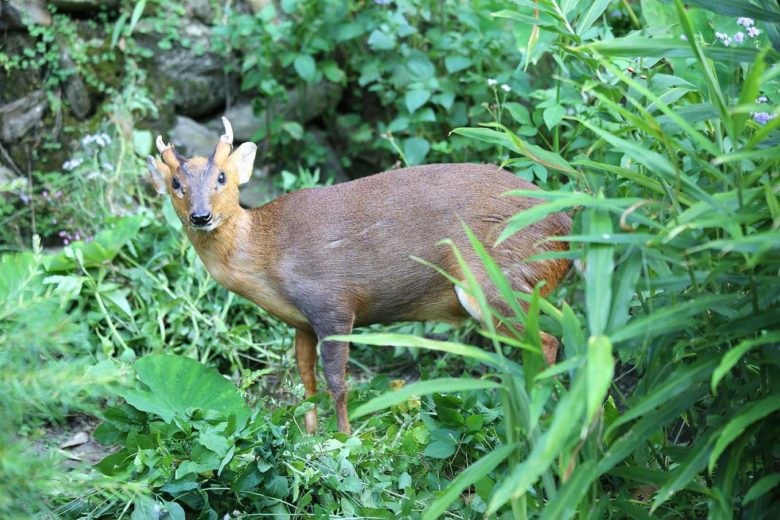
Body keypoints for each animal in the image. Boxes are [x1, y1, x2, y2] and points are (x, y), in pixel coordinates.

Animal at [148, 118, 572, 434]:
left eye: (221, 177)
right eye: (176, 183)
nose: (201, 216)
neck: (267, 254)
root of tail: (567, 223)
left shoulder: (332, 303)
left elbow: (338, 381)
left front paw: (343, 438)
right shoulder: (300, 321)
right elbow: (306, 380)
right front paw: (310, 436)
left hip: (495, 280)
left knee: (547, 341)